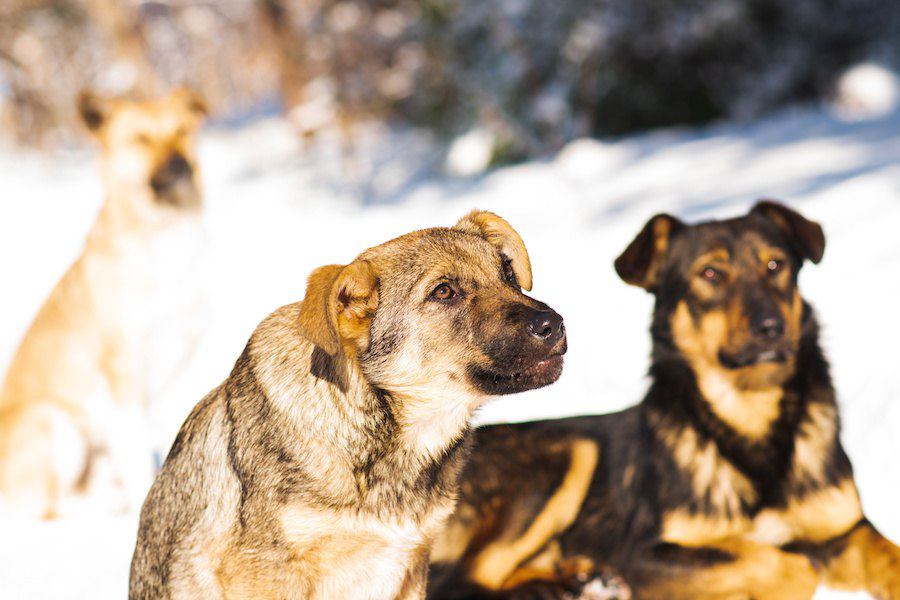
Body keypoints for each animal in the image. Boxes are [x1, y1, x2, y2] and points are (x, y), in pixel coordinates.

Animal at [0, 90, 207, 520]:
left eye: (181, 130)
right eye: (141, 139)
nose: (179, 165)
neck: (165, 235)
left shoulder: (184, 357)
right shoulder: (122, 369)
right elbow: (137, 454)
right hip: (58, 422)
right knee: (48, 506)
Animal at [428, 203, 900, 600]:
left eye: (776, 265)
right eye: (710, 274)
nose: (771, 327)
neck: (750, 419)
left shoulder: (848, 528)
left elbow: (881, 556)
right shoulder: (643, 555)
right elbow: (785, 565)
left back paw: (580, 579)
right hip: (565, 455)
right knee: (462, 582)